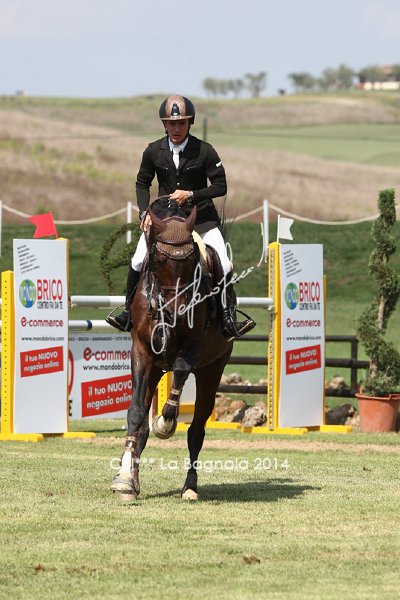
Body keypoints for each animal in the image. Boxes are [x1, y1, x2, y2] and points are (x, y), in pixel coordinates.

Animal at [111, 198, 234, 501]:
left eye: (192, 261)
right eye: (159, 260)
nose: (179, 311)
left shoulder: (194, 346)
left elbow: (178, 371)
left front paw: (166, 423)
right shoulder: (142, 351)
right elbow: (135, 415)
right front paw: (125, 480)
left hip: (212, 370)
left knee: (196, 430)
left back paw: (190, 487)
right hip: (156, 369)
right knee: (143, 425)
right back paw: (132, 477)